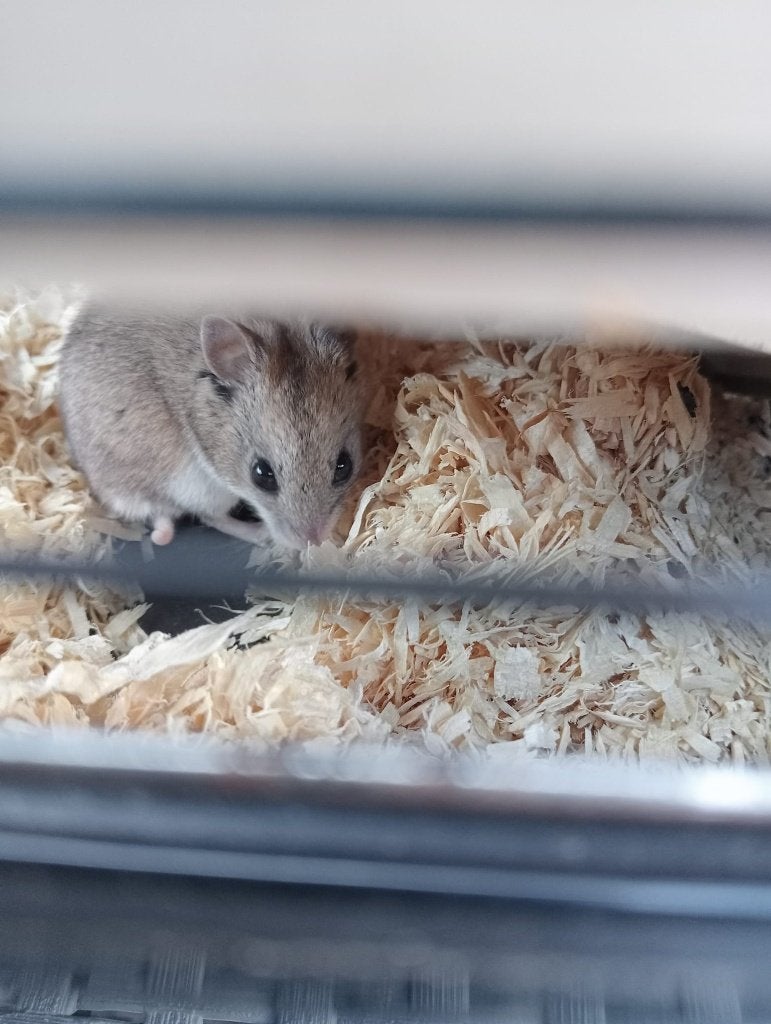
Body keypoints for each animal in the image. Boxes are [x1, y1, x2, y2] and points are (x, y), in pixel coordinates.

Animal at [57, 305, 364, 550]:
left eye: (344, 466)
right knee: (207, 516)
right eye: (261, 474)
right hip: (195, 483)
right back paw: (262, 534)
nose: (312, 541)